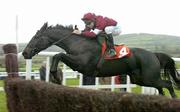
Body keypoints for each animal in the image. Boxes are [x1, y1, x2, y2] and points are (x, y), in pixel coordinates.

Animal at [22, 22, 180, 97]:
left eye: (36, 37)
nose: (24, 53)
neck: (78, 42)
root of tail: (154, 54)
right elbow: (58, 55)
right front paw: (54, 75)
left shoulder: (82, 65)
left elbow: (58, 55)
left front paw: (55, 75)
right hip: (141, 79)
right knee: (161, 87)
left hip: (148, 77)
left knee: (167, 84)